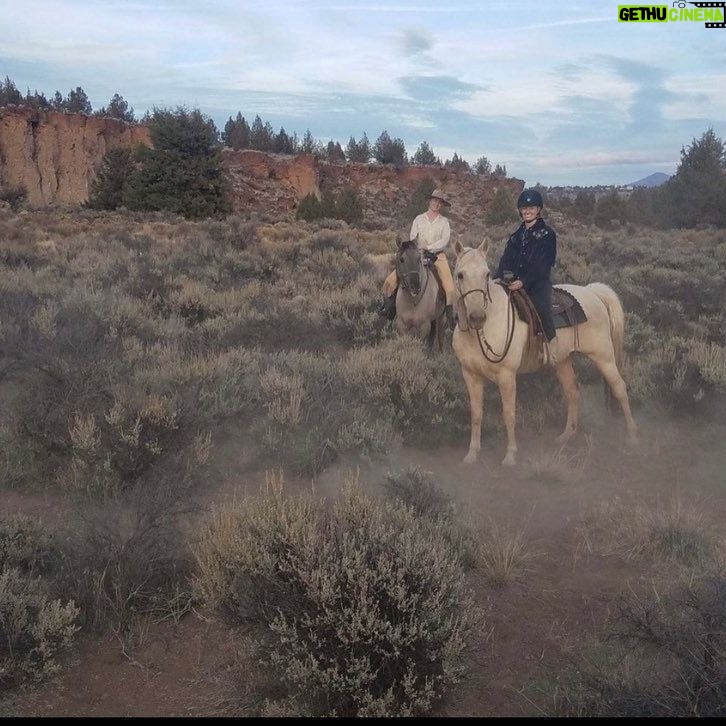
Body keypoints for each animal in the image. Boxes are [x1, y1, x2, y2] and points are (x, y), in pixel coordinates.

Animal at [452, 239, 640, 466]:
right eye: (460, 275)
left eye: (486, 274)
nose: (477, 317)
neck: (483, 331)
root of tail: (592, 292)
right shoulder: (470, 374)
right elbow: (476, 414)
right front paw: (472, 454)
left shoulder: (506, 376)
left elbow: (509, 414)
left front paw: (510, 455)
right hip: (563, 361)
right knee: (572, 391)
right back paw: (566, 435)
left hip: (603, 356)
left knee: (619, 388)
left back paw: (632, 436)